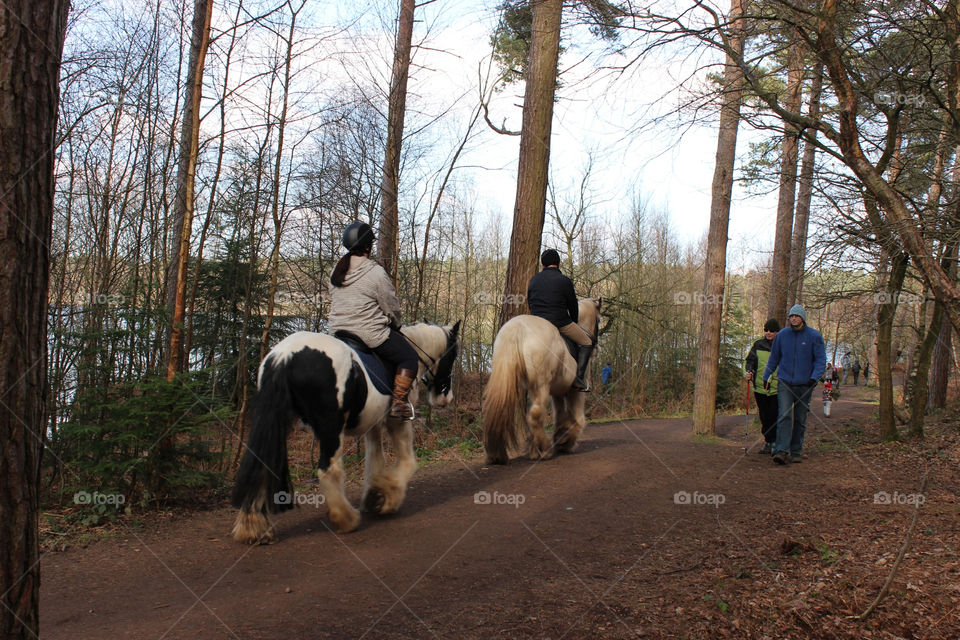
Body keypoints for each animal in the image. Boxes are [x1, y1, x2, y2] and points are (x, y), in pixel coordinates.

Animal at [231, 322, 460, 544]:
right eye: (453, 356)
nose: (445, 398)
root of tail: (285, 356)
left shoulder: (373, 423)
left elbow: (374, 459)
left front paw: (375, 494)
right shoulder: (397, 420)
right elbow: (407, 461)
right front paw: (388, 495)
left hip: (276, 420)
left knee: (262, 465)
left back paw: (254, 528)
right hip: (330, 427)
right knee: (328, 470)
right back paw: (346, 519)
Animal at [480, 298, 600, 462]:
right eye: (599, 320)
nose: (596, 348)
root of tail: (517, 328)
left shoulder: (558, 391)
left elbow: (560, 414)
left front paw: (561, 436)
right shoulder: (575, 391)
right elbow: (578, 418)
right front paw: (566, 442)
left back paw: (499, 455)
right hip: (541, 385)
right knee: (535, 415)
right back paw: (544, 450)